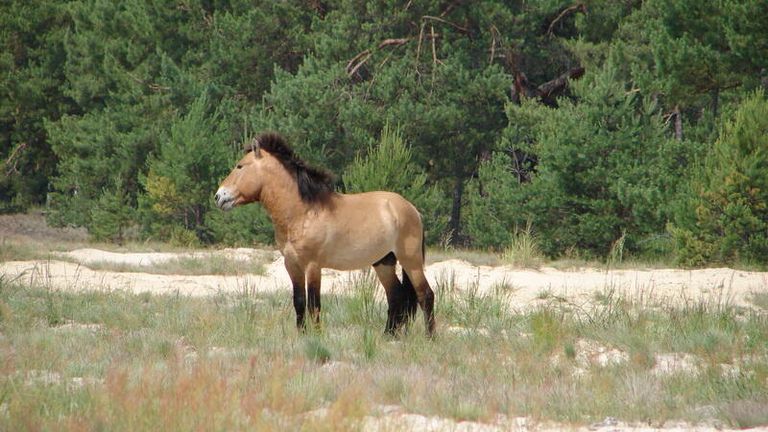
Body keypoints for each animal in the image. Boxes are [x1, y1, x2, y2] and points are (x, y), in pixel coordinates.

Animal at [214, 132, 435, 336]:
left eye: (240, 166)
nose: (219, 196)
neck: (303, 213)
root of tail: (412, 209)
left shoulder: (313, 266)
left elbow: (314, 303)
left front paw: (317, 336)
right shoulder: (292, 265)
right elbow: (299, 301)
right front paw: (302, 335)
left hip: (411, 260)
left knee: (425, 295)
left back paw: (429, 337)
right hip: (384, 262)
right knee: (396, 296)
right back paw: (388, 336)